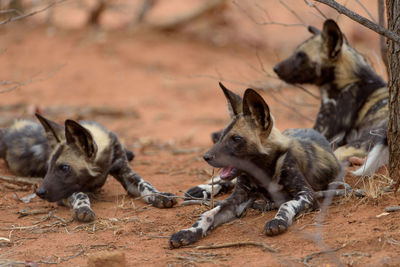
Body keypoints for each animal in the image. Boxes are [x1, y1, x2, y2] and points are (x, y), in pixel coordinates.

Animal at [0, 115, 177, 222]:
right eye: (48, 167)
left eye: (64, 167)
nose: (39, 192)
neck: (101, 165)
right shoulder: (64, 192)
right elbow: (80, 194)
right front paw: (83, 208)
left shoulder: (125, 173)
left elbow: (145, 184)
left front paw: (159, 196)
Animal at [169, 84, 340, 249]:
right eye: (221, 136)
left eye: (236, 139)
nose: (206, 157)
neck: (262, 171)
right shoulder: (236, 200)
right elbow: (208, 214)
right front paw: (188, 232)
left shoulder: (307, 194)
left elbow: (286, 204)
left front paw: (278, 221)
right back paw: (202, 189)